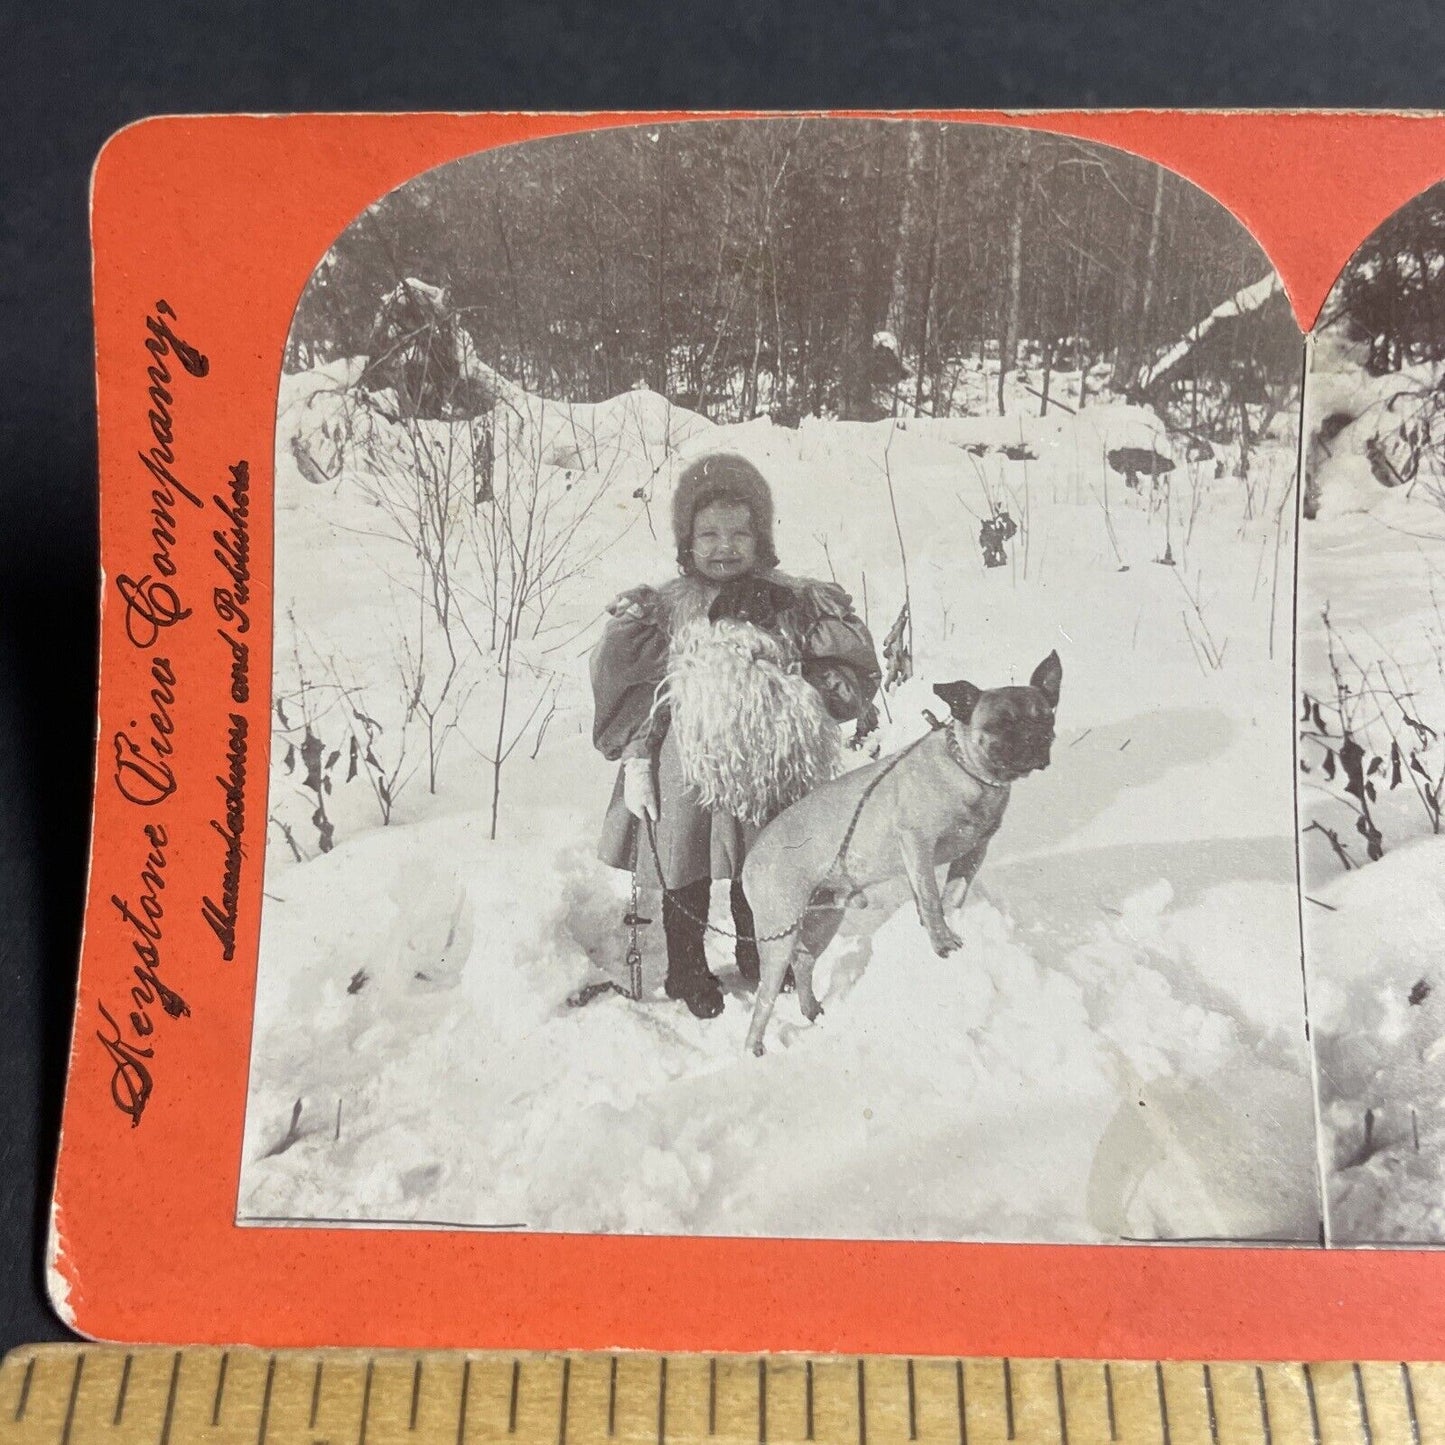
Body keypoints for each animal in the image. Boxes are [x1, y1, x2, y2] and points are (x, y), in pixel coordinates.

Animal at [739, 653, 1057, 1051]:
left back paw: (812, 1011)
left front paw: (945, 930)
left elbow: (952, 896)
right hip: (777, 934)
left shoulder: (972, 853)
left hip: (823, 918)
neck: (969, 772)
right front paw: (942, 942)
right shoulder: (917, 844)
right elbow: (932, 898)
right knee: (765, 998)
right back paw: (754, 1048)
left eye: (1046, 716)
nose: (1036, 736)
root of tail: (751, 858)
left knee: (804, 962)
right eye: (1001, 723)